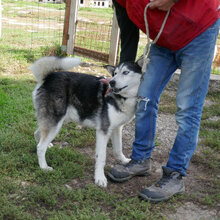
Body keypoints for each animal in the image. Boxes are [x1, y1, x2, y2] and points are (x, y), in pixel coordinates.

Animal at [30, 55, 141, 186]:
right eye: (115, 73)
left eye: (125, 72)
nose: (112, 82)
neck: (123, 98)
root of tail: (48, 77)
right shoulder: (103, 131)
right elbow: (101, 157)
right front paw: (100, 178)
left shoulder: (117, 129)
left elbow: (118, 149)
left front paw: (124, 161)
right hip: (56, 123)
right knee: (40, 147)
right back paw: (44, 167)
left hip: (58, 121)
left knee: (37, 133)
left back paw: (48, 146)